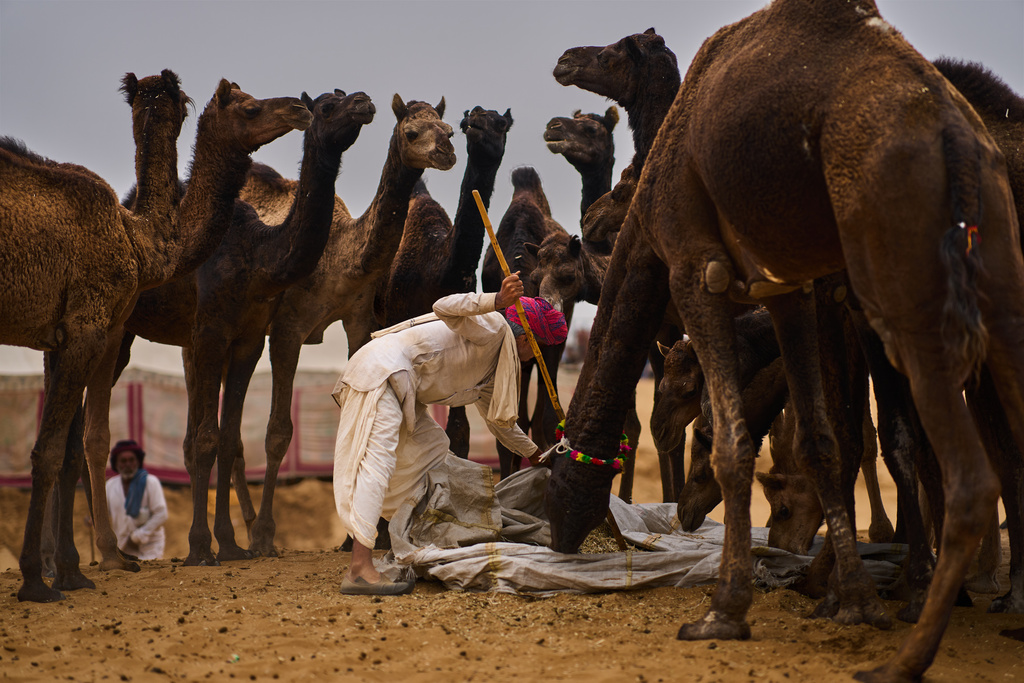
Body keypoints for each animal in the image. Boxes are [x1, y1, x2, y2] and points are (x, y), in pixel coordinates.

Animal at [0, 70, 192, 603]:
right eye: (185, 103)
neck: (134, 234)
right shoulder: (88, 325)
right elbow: (49, 451)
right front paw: (37, 580)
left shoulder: (57, 337)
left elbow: (66, 450)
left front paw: (69, 570)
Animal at [239, 95, 456, 557]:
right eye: (412, 131)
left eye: (449, 129)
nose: (447, 153)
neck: (341, 258)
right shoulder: (288, 328)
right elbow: (278, 431)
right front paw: (266, 536)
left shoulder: (358, 320)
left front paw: (357, 536)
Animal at [545, 3, 1023, 681]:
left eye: (555, 480)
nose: (560, 538)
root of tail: (956, 134)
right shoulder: (788, 288)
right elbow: (823, 441)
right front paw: (852, 599)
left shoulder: (699, 269)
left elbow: (739, 442)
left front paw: (729, 608)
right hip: (996, 278)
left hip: (901, 280)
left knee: (967, 469)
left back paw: (913, 645)